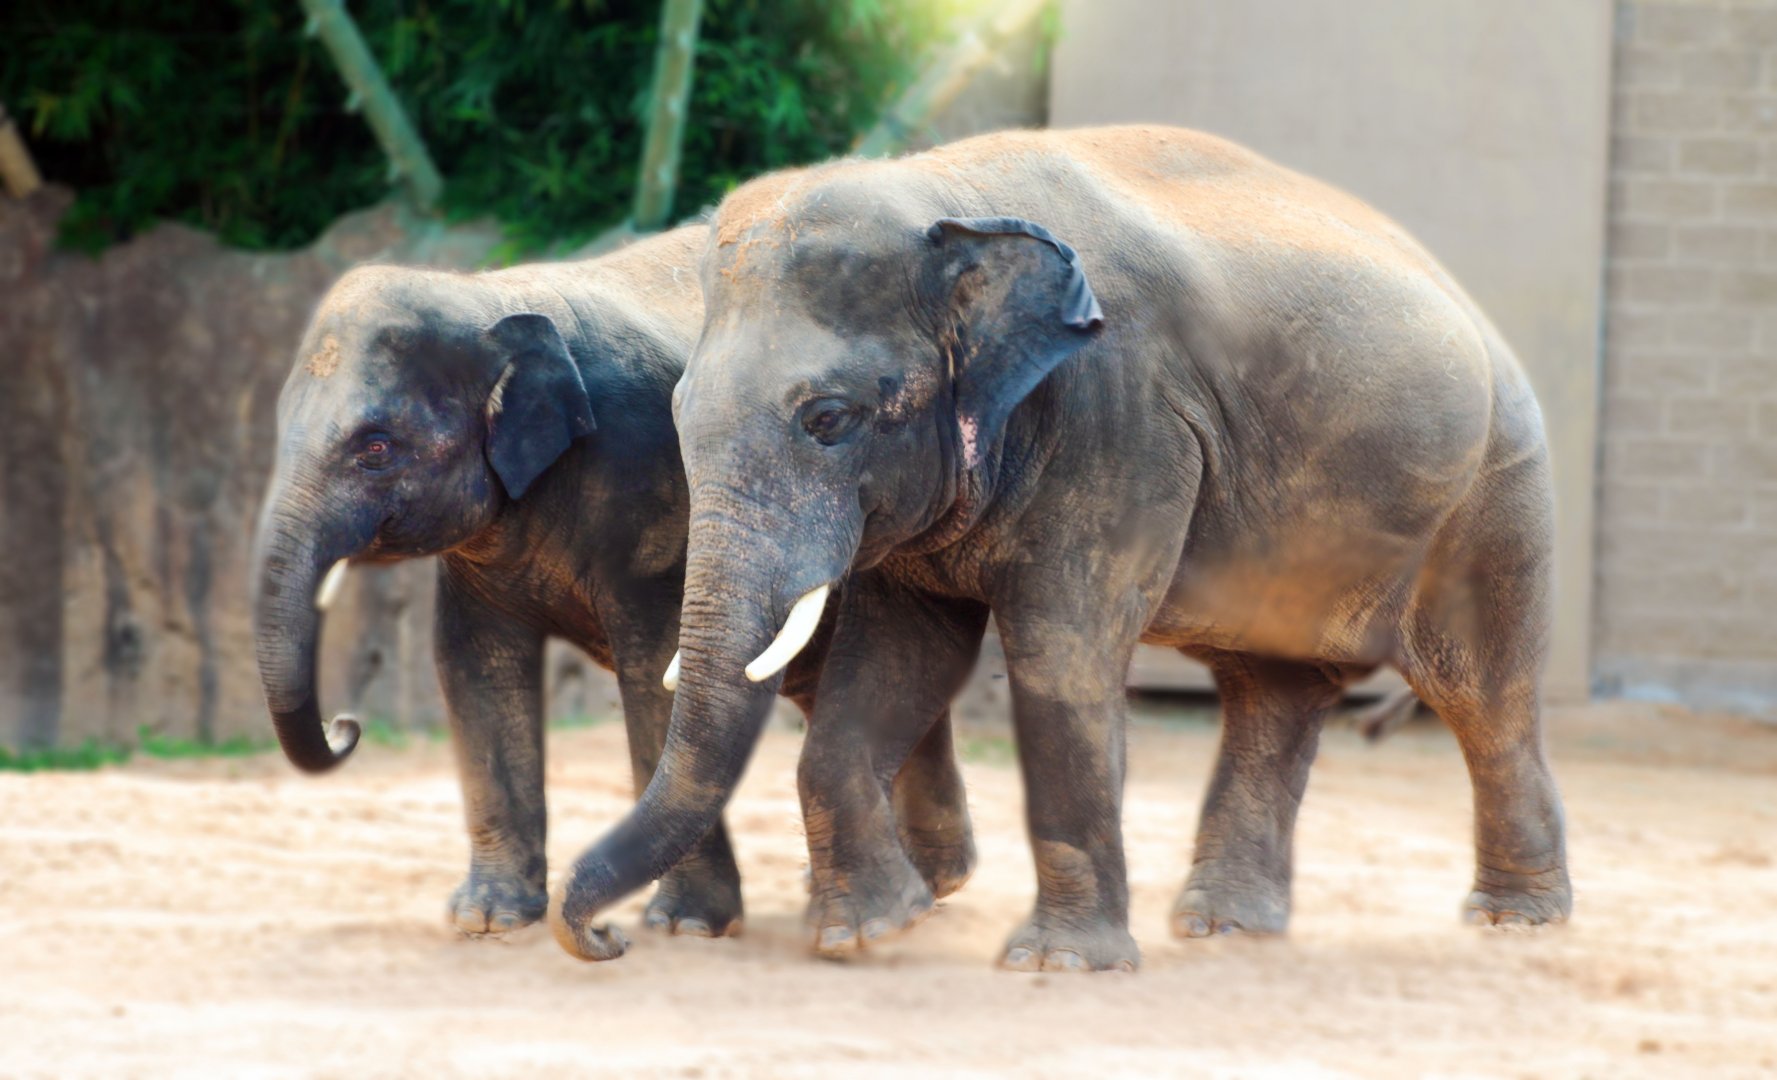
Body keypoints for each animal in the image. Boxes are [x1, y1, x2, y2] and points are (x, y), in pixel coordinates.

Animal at [248, 225, 976, 943]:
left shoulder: (651, 490)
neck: (491, 296)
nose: (346, 725)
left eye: (375, 447)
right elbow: (471, 666)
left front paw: (685, 925)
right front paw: (487, 920)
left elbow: (654, 671)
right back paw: (932, 884)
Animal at [548, 125, 1570, 972]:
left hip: (1494, 494)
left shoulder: (1121, 419)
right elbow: (900, 660)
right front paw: (869, 933)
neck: (945, 199)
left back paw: (1512, 920)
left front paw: (1058, 963)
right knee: (1270, 696)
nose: (604, 939)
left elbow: (1058, 653)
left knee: (1481, 696)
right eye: (680, 414)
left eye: (827, 419)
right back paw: (1225, 928)